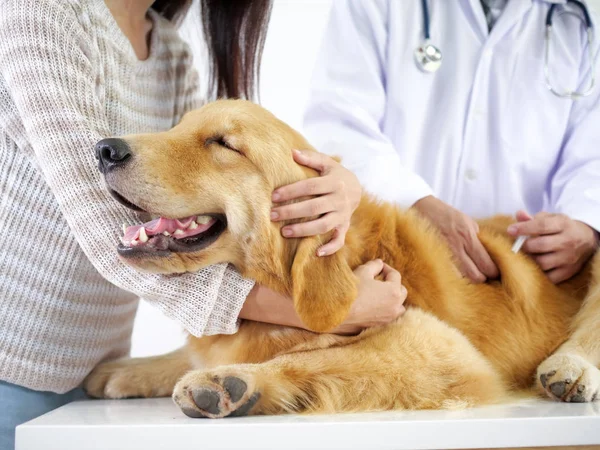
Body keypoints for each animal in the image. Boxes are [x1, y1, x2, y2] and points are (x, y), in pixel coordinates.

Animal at [84, 98, 600, 418]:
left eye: (223, 144)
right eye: (179, 127)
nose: (105, 149)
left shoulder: (445, 348)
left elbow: (316, 359)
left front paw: (235, 381)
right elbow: (189, 353)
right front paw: (126, 370)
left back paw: (570, 369)